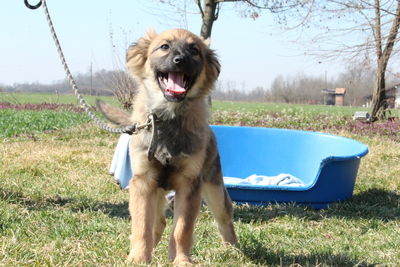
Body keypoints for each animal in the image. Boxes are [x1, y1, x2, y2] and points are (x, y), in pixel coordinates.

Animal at [97, 28, 236, 264]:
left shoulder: (189, 184)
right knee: (157, 222)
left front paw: (180, 260)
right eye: (164, 47)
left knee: (225, 217)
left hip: (214, 188)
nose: (181, 60)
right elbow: (141, 225)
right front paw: (139, 258)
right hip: (157, 189)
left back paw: (232, 249)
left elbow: (181, 229)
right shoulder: (143, 181)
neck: (168, 119)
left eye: (194, 50)